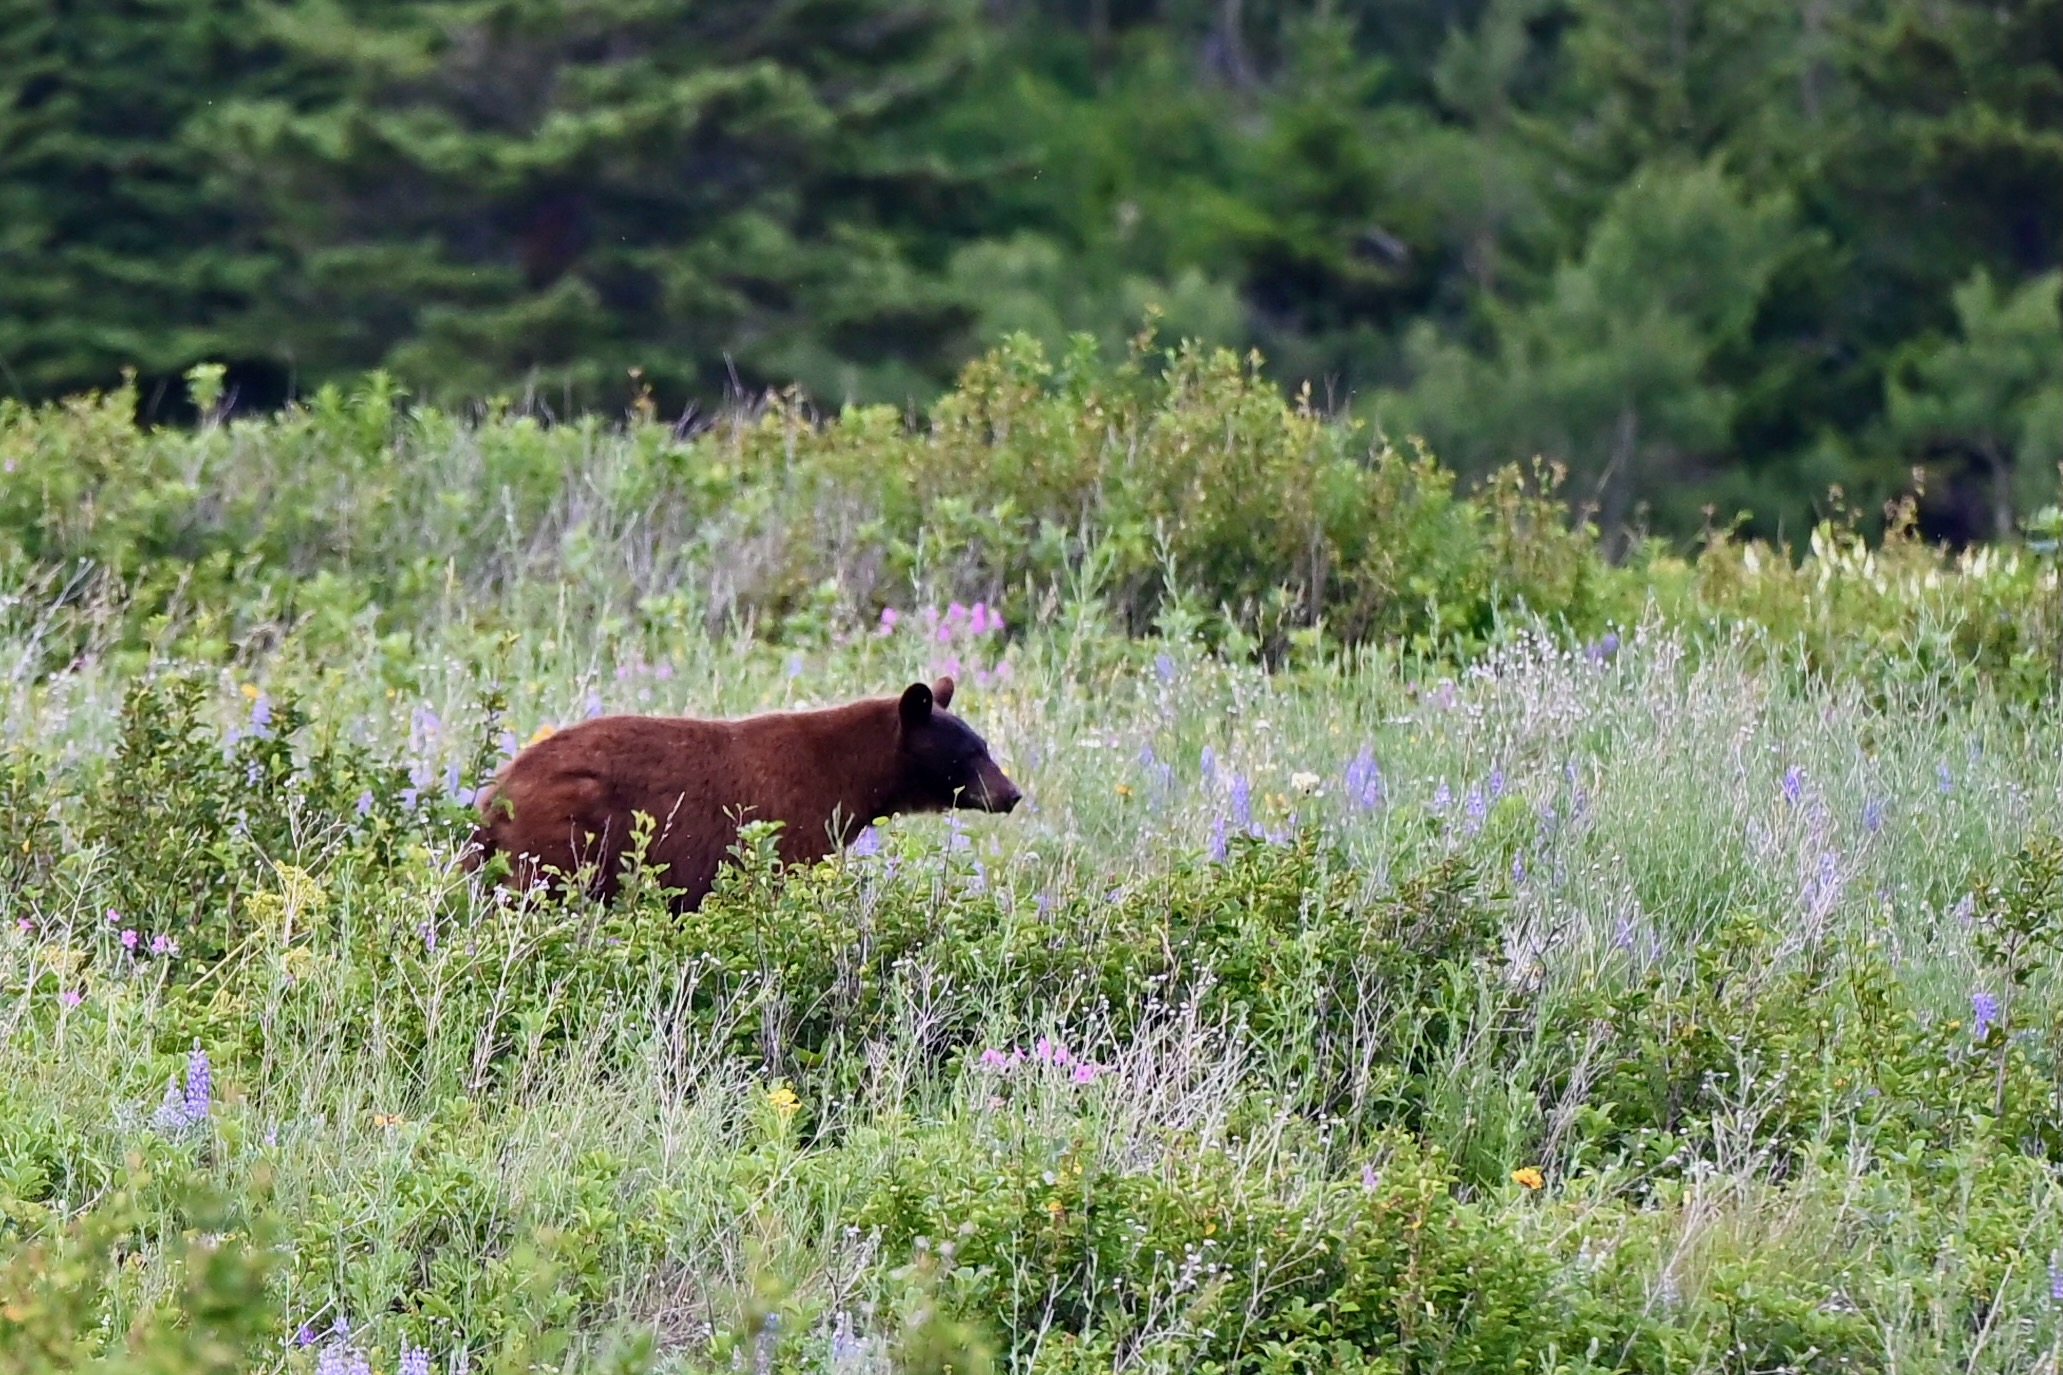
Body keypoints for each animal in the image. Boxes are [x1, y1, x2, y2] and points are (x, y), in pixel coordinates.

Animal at [465, 675, 1020, 912]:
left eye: (983, 745)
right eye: (969, 753)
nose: (1011, 794)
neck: (849, 772)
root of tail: (494, 799)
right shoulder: (793, 823)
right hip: (561, 838)